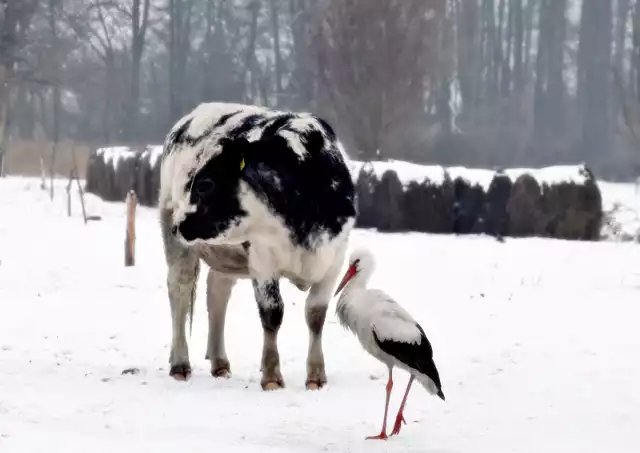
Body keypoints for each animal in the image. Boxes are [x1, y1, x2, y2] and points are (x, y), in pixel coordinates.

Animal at [158, 101, 358, 388]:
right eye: (194, 182)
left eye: (205, 184)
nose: (178, 225)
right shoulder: (263, 258)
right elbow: (272, 313)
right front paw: (272, 375)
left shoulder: (334, 258)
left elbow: (315, 315)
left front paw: (316, 376)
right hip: (174, 236)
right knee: (180, 290)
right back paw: (180, 364)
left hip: (227, 254)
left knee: (217, 293)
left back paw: (220, 362)